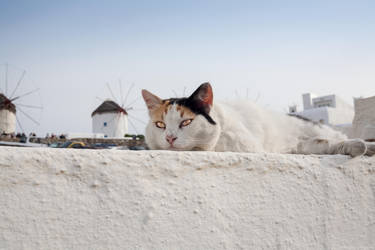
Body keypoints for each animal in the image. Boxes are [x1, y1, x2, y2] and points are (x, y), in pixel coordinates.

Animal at [142, 82, 375, 156]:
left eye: (186, 122)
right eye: (160, 125)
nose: (170, 138)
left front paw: (360, 146)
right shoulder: (292, 148)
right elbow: (322, 145)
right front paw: (357, 147)